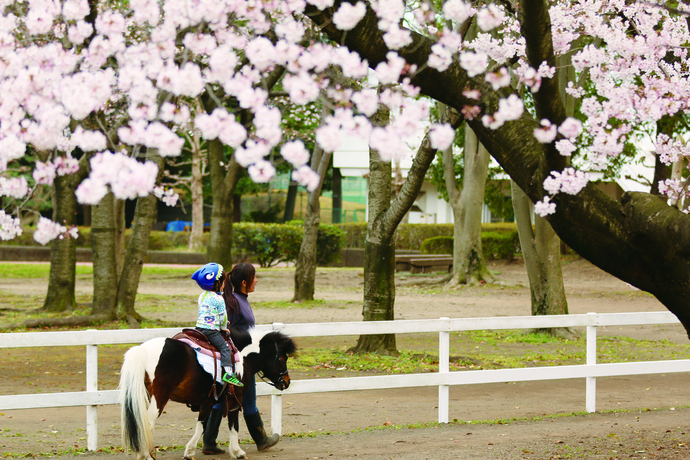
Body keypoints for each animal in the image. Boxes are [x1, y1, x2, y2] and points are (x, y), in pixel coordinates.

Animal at [119, 328, 296, 458]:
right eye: (282, 358)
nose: (286, 382)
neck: (240, 357)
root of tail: (142, 349)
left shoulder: (208, 401)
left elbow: (201, 424)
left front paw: (190, 452)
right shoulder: (234, 399)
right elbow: (233, 425)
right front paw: (237, 451)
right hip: (159, 398)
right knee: (147, 424)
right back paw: (146, 455)